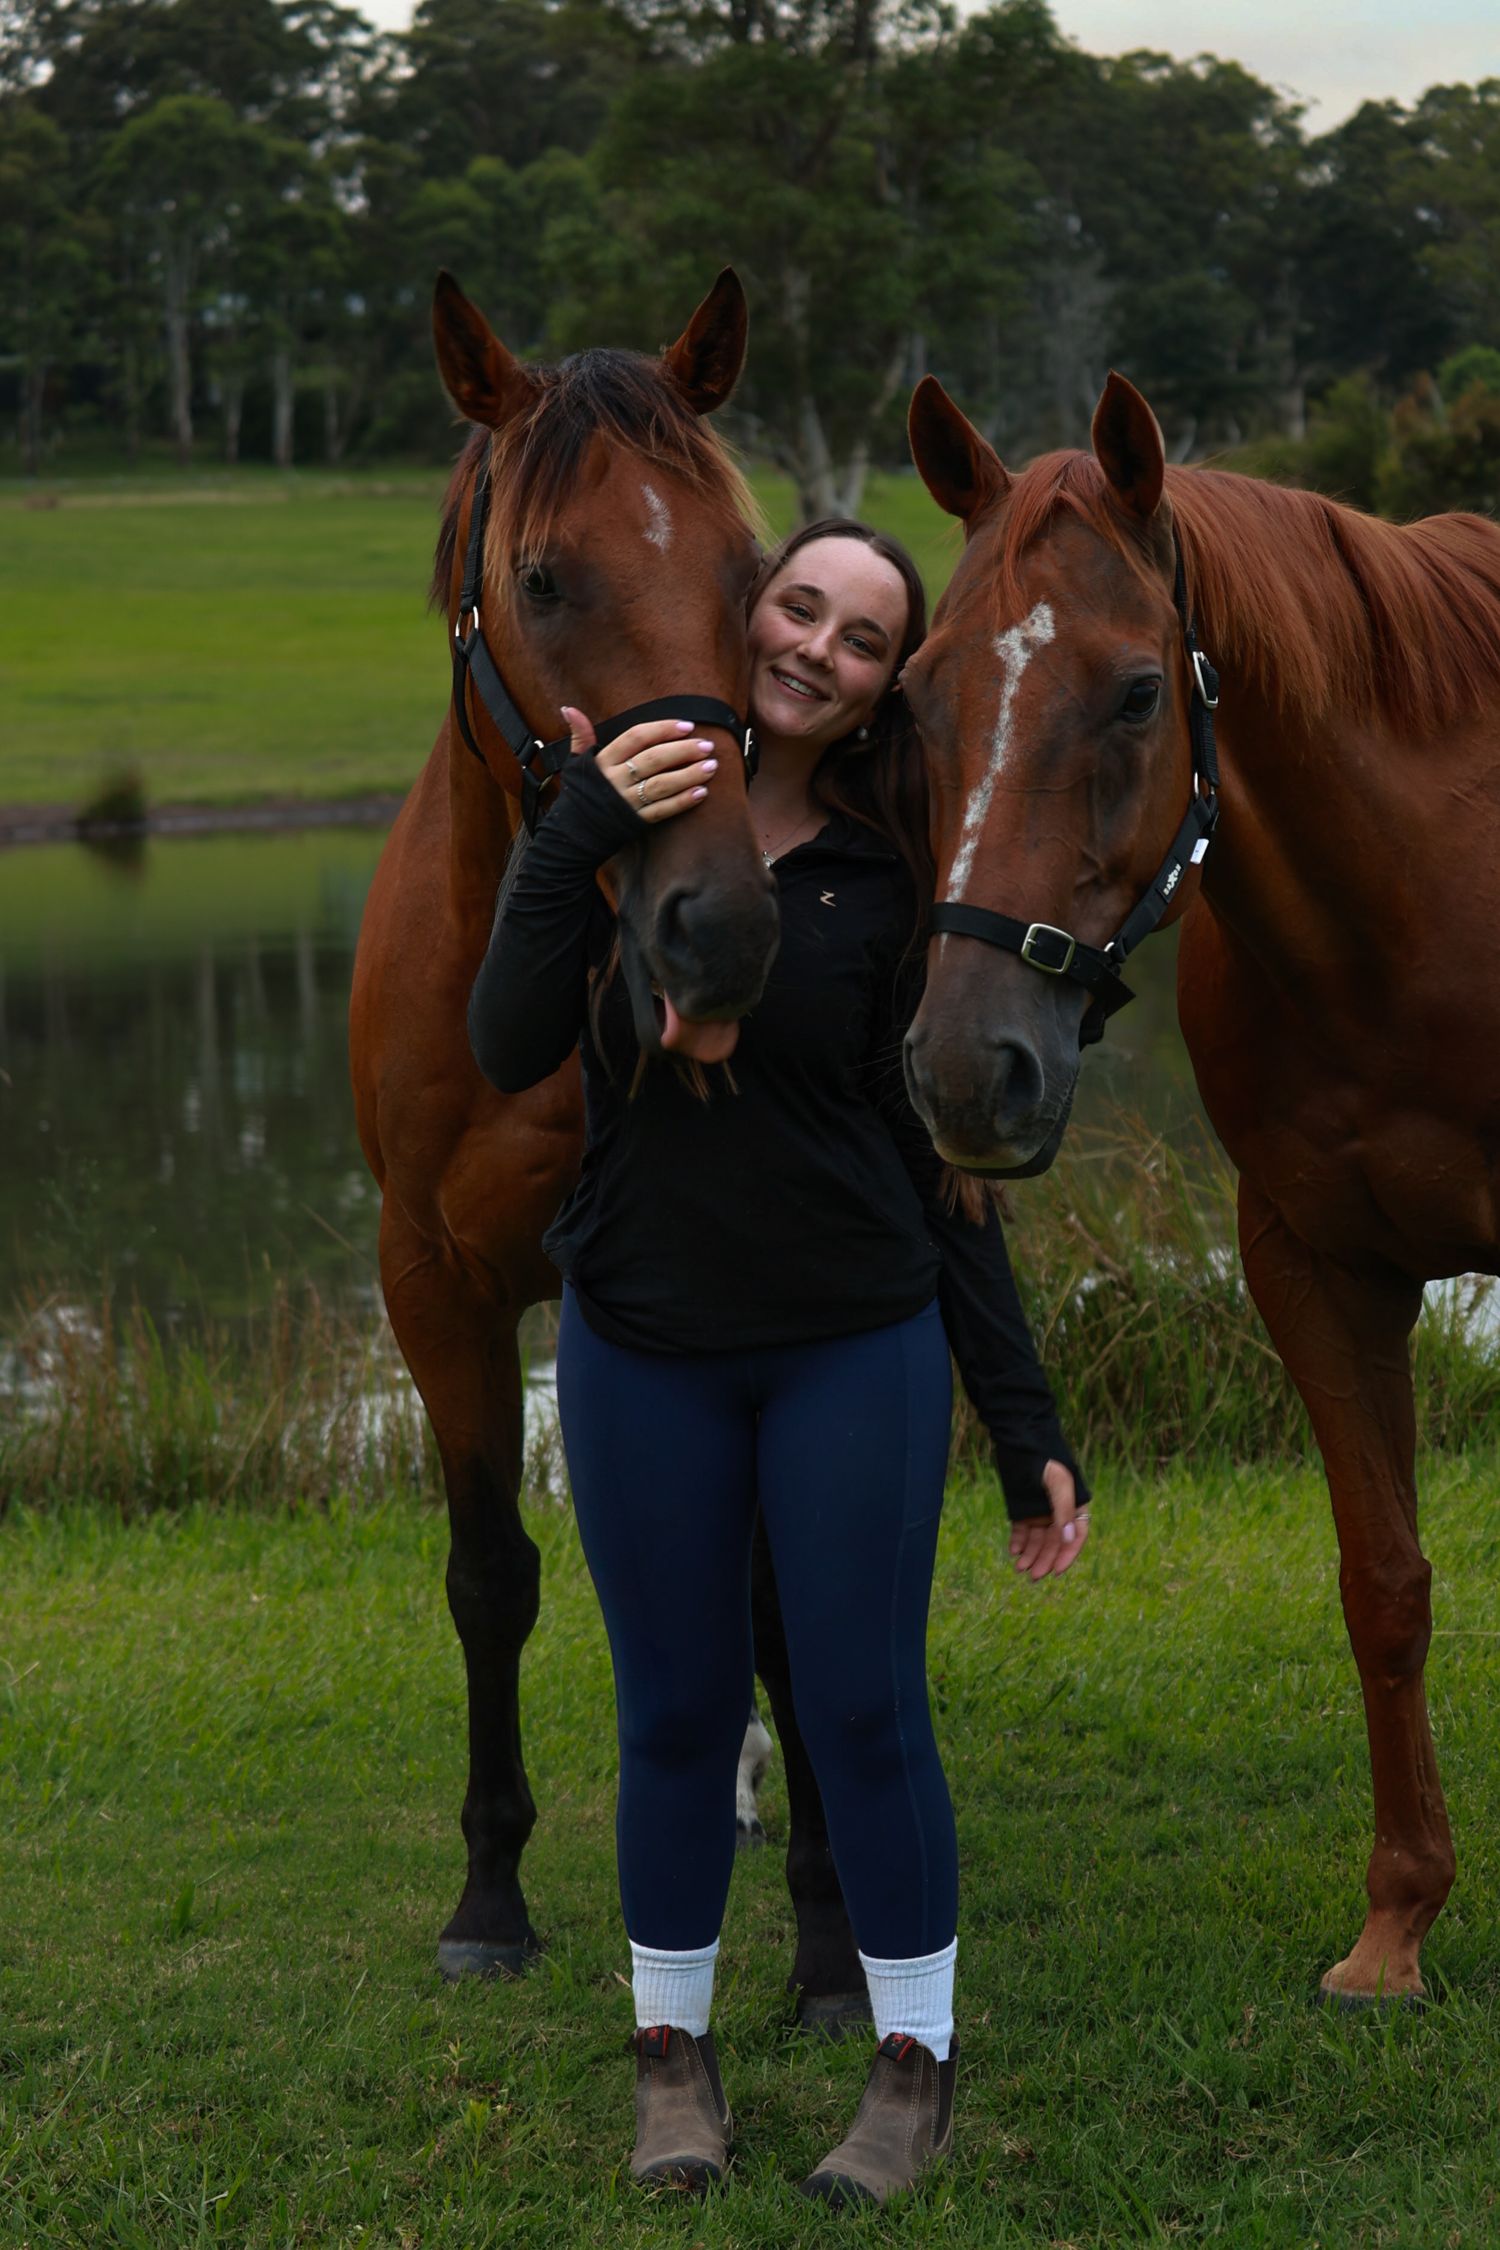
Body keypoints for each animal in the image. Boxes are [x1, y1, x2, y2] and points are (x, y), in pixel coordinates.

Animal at [349, 272, 869, 2024]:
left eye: (748, 570)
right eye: (543, 574)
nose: (719, 926)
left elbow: (772, 1591)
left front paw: (830, 1937)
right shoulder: (434, 1285)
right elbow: (491, 1572)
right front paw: (488, 1894)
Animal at [900, 366, 1500, 2004]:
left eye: (1134, 693)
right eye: (917, 695)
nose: (968, 1070)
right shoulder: (1312, 1263)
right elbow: (1385, 1583)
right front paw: (1397, 1922)